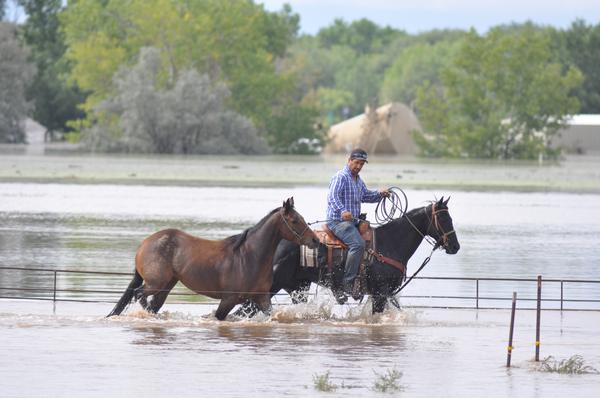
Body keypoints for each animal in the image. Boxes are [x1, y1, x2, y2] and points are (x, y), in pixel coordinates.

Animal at [109, 198, 322, 320]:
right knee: (138, 294)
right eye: (294, 220)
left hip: (166, 284)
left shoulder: (262, 297)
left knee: (150, 302)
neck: (249, 257)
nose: (315, 240)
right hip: (156, 282)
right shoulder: (228, 299)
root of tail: (144, 244)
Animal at [238, 196, 460, 314]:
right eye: (443, 219)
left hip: (297, 288)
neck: (389, 243)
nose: (455, 246)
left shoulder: (388, 293)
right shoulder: (380, 293)